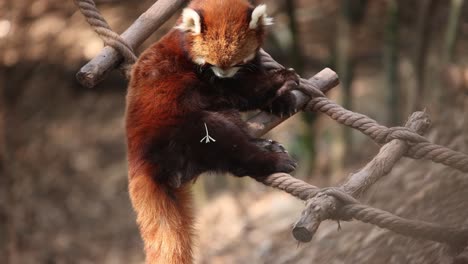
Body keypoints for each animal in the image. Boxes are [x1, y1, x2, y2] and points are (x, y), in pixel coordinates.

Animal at [126, 1, 298, 262]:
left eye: (236, 62)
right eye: (211, 63)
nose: (223, 73)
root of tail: (142, 160)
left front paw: (283, 101)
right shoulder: (206, 81)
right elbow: (245, 90)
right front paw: (282, 80)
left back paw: (266, 145)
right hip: (186, 129)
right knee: (229, 145)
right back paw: (272, 159)